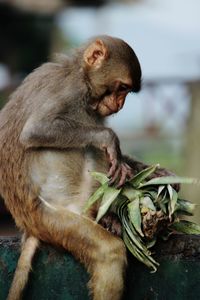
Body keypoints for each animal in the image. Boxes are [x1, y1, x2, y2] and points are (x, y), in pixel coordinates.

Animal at [0, 35, 175, 300]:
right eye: (122, 88)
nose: (120, 104)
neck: (80, 72)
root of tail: (28, 226)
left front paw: (159, 175)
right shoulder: (72, 89)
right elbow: (35, 130)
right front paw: (109, 139)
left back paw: (110, 219)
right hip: (54, 220)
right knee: (107, 252)